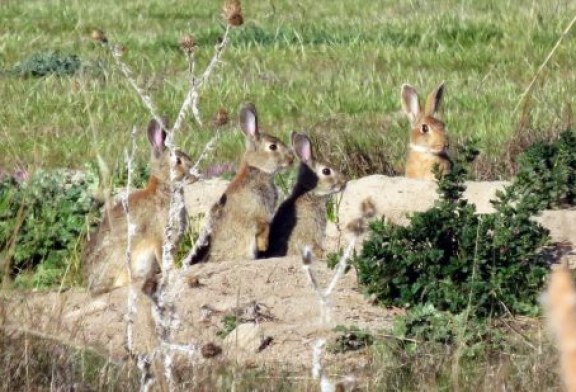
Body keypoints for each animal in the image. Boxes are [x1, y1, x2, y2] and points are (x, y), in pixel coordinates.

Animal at [84, 118, 196, 296]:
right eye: (177, 161)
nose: (194, 174)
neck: (164, 186)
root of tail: (92, 285)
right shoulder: (160, 237)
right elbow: (163, 258)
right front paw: (172, 271)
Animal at [189, 103, 294, 264]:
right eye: (273, 147)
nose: (291, 158)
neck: (256, 169)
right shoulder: (258, 213)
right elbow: (262, 228)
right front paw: (264, 247)